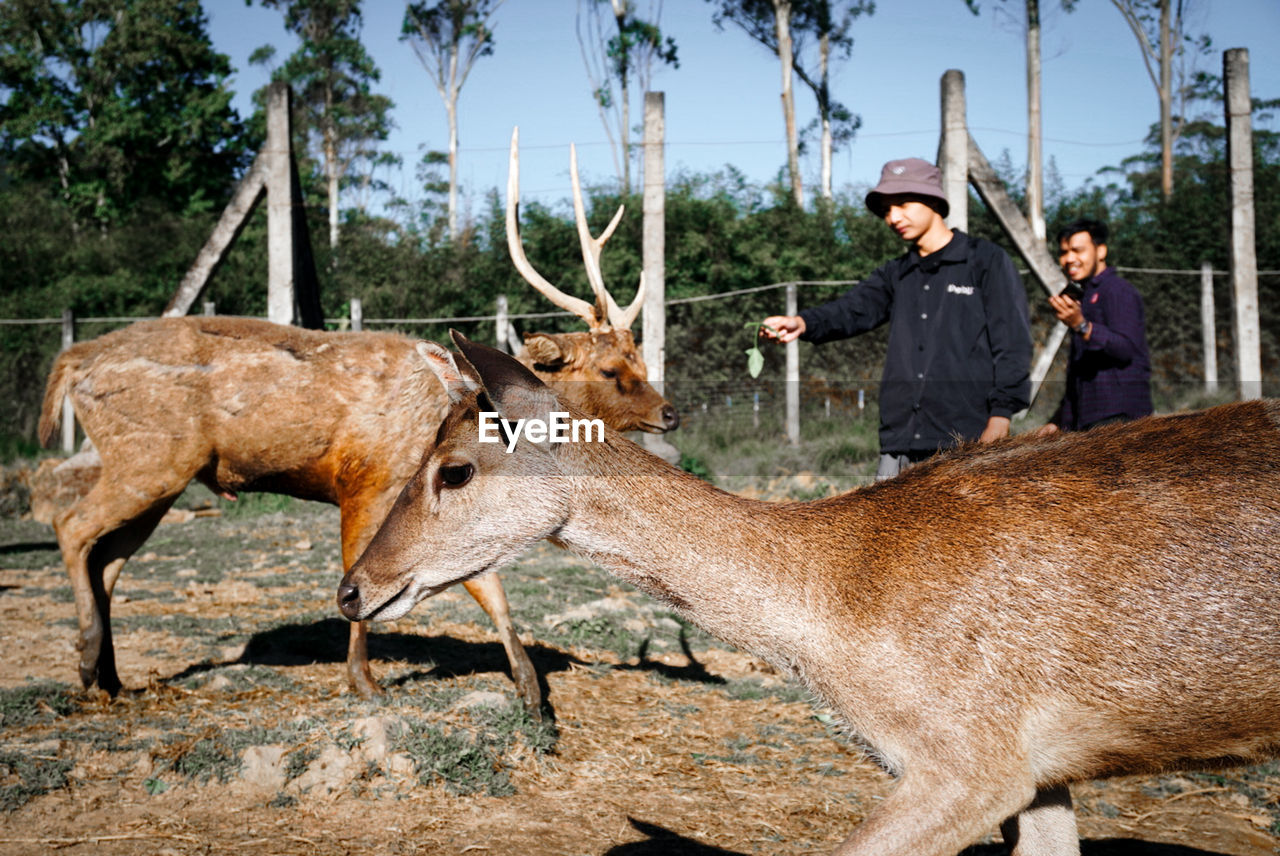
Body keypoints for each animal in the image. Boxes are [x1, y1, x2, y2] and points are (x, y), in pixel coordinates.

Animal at [35, 128, 675, 716]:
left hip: (161, 475)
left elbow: (488, 587)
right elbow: (362, 576)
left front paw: (531, 691)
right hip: (148, 457)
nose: (668, 412)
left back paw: (112, 678)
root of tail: (72, 361)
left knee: (108, 559)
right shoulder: (368, 480)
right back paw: (88, 664)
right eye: (612, 368)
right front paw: (363, 683)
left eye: (641, 356)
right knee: (72, 525)